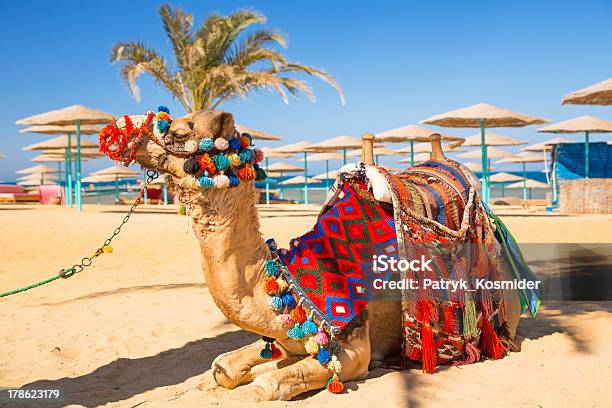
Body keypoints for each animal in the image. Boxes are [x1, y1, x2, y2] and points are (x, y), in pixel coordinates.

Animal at [103, 108, 524, 402]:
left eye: (177, 131)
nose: (119, 128)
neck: (287, 285)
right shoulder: (282, 337)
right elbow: (223, 367)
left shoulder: (353, 348)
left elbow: (266, 385)